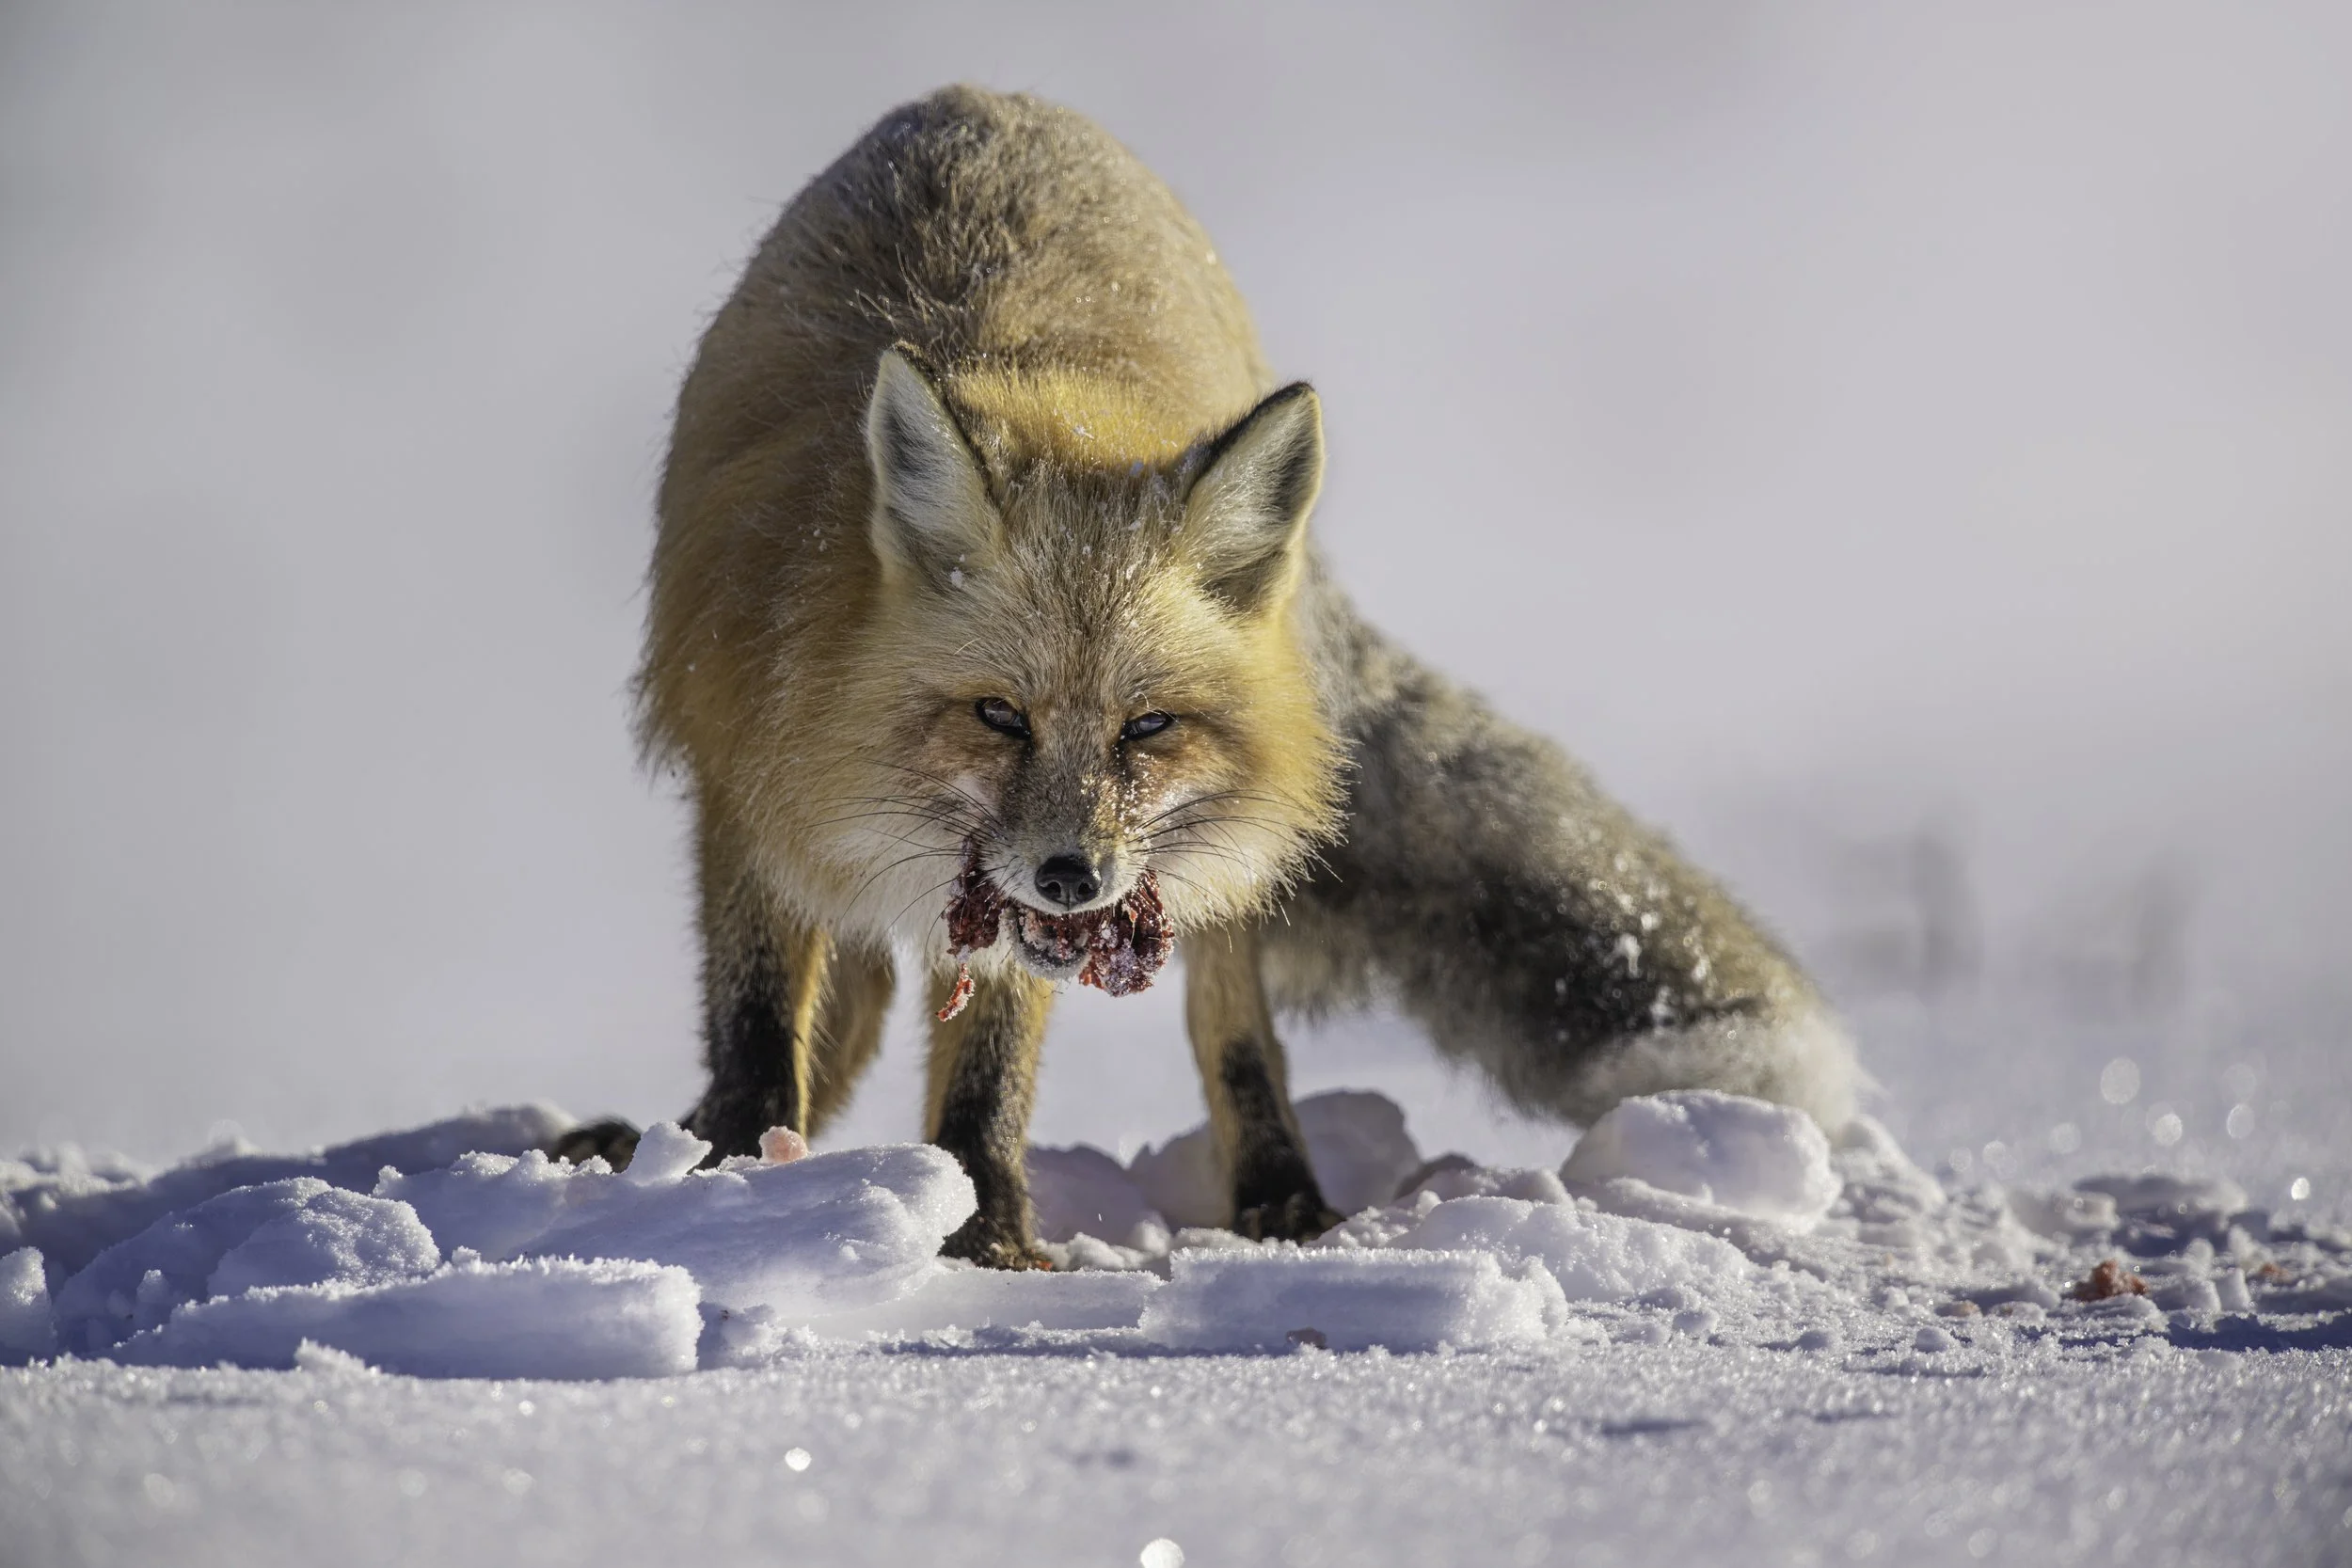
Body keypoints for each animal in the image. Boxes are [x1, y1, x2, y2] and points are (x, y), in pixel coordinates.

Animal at [552, 85, 1858, 1268]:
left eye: (1146, 726)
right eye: (997, 715)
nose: (1071, 875)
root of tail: (991, 97)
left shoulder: (1032, 904)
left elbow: (993, 1062)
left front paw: (986, 1234)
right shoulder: (749, 783)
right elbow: (760, 1021)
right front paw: (731, 1178)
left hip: (1213, 861)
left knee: (1235, 1029)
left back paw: (1280, 1198)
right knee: (845, 1017)